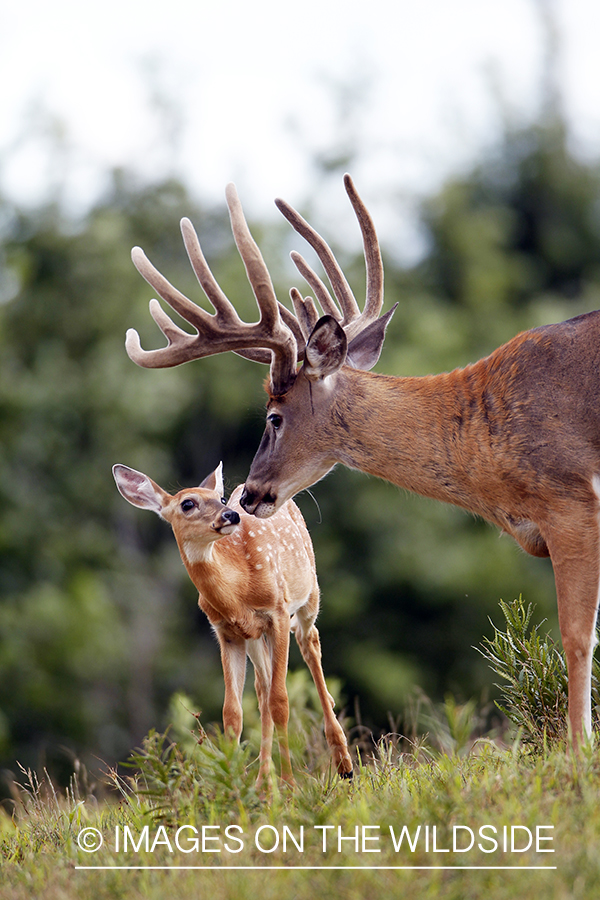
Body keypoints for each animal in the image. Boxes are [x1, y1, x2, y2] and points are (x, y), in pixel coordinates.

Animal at [112, 462, 353, 786]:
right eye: (187, 504)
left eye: (222, 499)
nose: (232, 515)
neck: (239, 589)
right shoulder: (227, 632)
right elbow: (232, 713)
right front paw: (235, 783)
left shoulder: (277, 612)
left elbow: (281, 701)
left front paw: (289, 784)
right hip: (254, 636)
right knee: (262, 686)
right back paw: (264, 780)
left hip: (309, 590)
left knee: (309, 641)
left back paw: (343, 762)